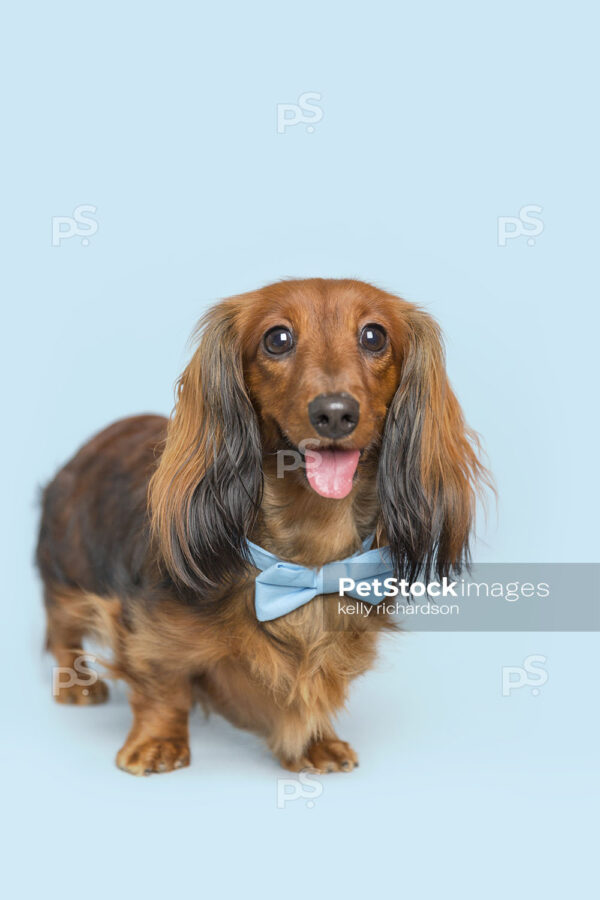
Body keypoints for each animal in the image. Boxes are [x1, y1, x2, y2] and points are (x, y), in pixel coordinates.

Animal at [36, 280, 488, 772]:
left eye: (374, 336)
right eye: (278, 339)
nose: (335, 413)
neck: (308, 557)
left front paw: (316, 742)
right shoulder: (145, 628)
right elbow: (163, 685)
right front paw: (158, 743)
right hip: (68, 570)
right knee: (61, 627)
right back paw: (76, 683)